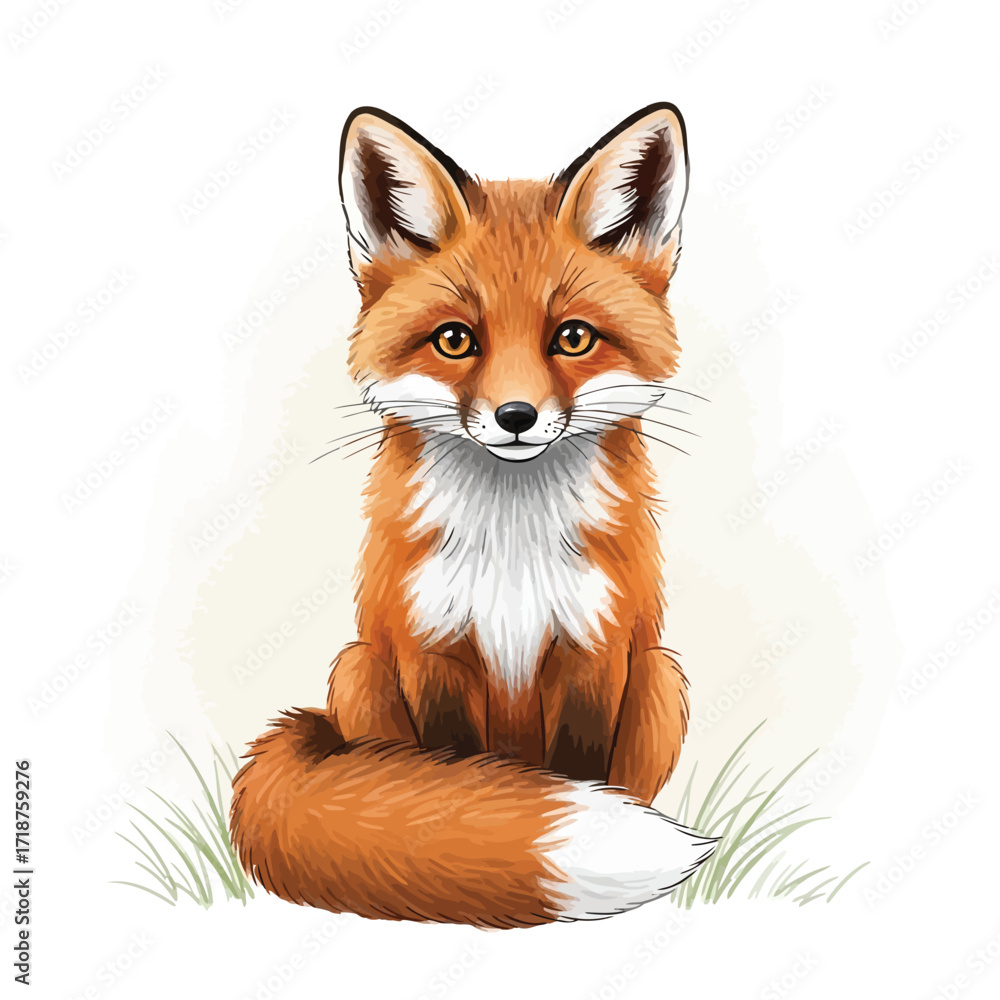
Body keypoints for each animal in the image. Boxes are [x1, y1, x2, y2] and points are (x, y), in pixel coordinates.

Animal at [229, 102, 716, 928]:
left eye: (572, 337)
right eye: (455, 340)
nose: (516, 417)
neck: (512, 546)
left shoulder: (594, 654)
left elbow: (580, 774)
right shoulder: (433, 653)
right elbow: (452, 788)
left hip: (661, 677)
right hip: (358, 669)